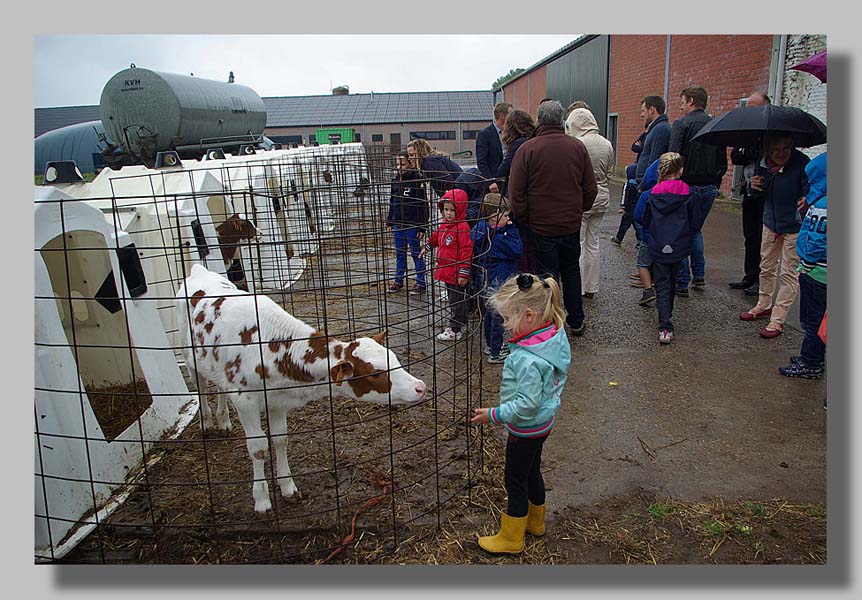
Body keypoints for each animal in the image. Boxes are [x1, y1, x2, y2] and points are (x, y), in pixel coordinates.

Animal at [176, 264, 428, 512]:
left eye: (394, 358)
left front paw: (287, 486)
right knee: (201, 387)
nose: (420, 387)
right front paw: (261, 499)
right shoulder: (245, 400)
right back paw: (207, 423)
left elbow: (280, 438)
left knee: (219, 387)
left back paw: (224, 421)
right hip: (190, 359)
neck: (270, 348)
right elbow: (258, 447)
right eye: (375, 373)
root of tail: (198, 270)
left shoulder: (277, 399)